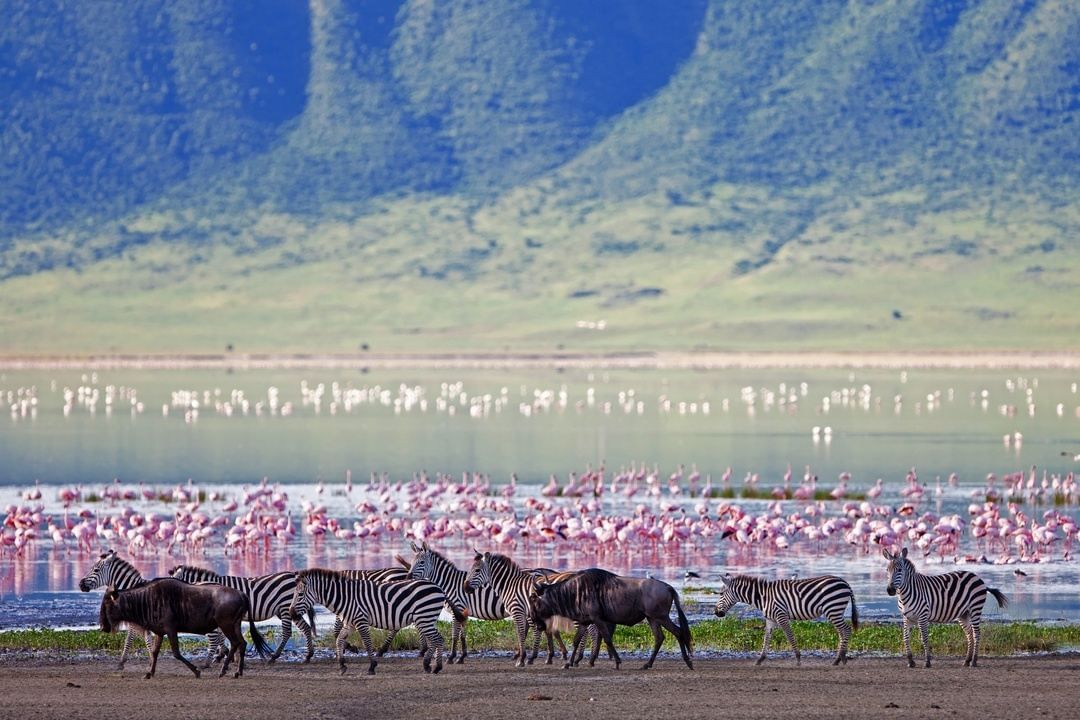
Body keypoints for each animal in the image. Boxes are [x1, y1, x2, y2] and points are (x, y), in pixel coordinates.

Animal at [169, 565, 316, 664]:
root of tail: (294, 575)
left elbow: (221, 636)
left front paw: (223, 655)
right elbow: (223, 636)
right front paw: (226, 654)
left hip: (286, 608)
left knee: (287, 632)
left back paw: (274, 656)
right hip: (290, 610)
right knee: (306, 628)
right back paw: (308, 655)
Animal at [288, 568, 452, 675]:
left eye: (300, 594)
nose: (291, 613)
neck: (346, 597)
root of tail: (438, 587)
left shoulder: (361, 620)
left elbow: (367, 643)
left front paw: (372, 666)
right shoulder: (350, 623)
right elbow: (339, 640)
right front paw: (342, 665)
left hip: (424, 617)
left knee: (438, 639)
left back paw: (436, 667)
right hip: (425, 619)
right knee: (435, 640)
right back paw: (428, 665)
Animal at [713, 573, 859, 666]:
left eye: (721, 594)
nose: (716, 612)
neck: (763, 597)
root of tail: (844, 582)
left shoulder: (781, 616)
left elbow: (790, 636)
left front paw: (798, 659)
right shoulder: (770, 619)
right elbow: (766, 638)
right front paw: (760, 659)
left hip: (833, 609)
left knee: (846, 630)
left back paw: (839, 659)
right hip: (835, 611)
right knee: (842, 632)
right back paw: (840, 659)